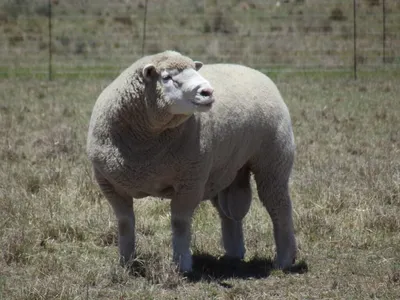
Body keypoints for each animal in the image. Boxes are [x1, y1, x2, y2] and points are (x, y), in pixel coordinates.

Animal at [86, 50, 296, 274]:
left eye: (195, 70)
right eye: (166, 77)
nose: (208, 91)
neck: (145, 149)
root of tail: (253, 71)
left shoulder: (190, 182)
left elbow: (180, 223)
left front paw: (182, 264)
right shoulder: (109, 185)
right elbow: (125, 223)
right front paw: (126, 263)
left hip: (273, 163)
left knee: (279, 207)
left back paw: (284, 260)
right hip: (223, 171)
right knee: (227, 214)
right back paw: (233, 254)